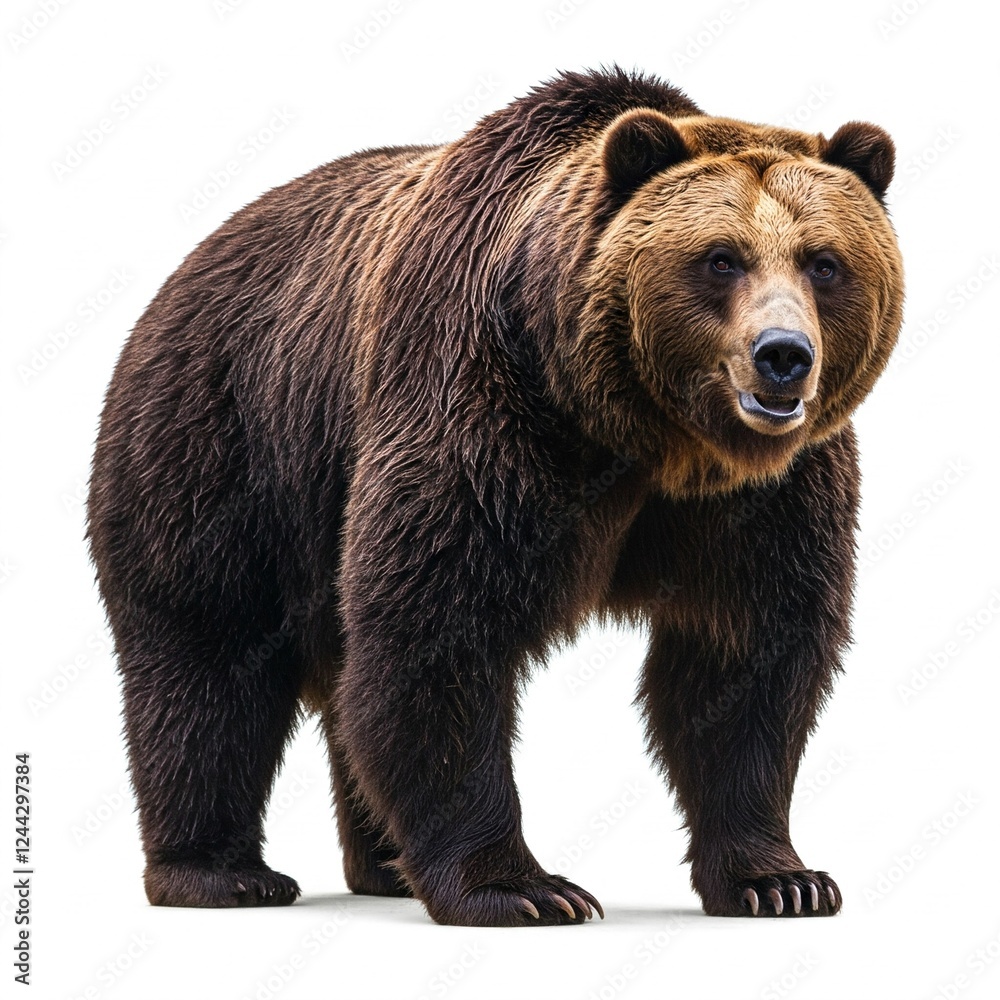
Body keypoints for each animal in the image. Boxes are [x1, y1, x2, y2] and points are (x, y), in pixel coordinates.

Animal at [87, 67, 903, 925]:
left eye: (823, 262)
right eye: (721, 258)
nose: (783, 356)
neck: (645, 433)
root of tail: (187, 266)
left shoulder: (764, 496)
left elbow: (747, 654)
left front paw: (782, 880)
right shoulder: (485, 413)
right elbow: (442, 629)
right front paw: (524, 888)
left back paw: (384, 865)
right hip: (223, 448)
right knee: (207, 658)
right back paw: (221, 873)